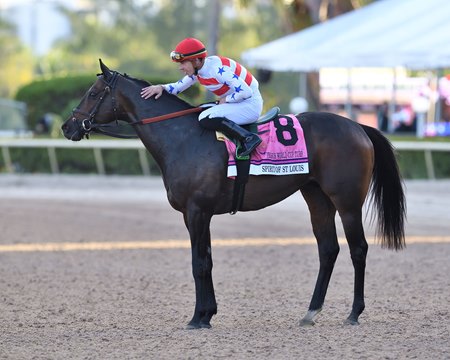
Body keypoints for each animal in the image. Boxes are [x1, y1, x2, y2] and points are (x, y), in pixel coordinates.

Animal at [61, 59, 406, 330]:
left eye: (93, 93)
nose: (67, 127)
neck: (185, 138)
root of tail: (358, 127)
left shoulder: (196, 211)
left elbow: (198, 263)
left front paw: (197, 318)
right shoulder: (199, 214)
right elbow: (207, 260)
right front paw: (207, 314)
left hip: (346, 201)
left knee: (358, 249)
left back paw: (354, 312)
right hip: (316, 197)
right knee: (328, 250)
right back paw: (310, 312)